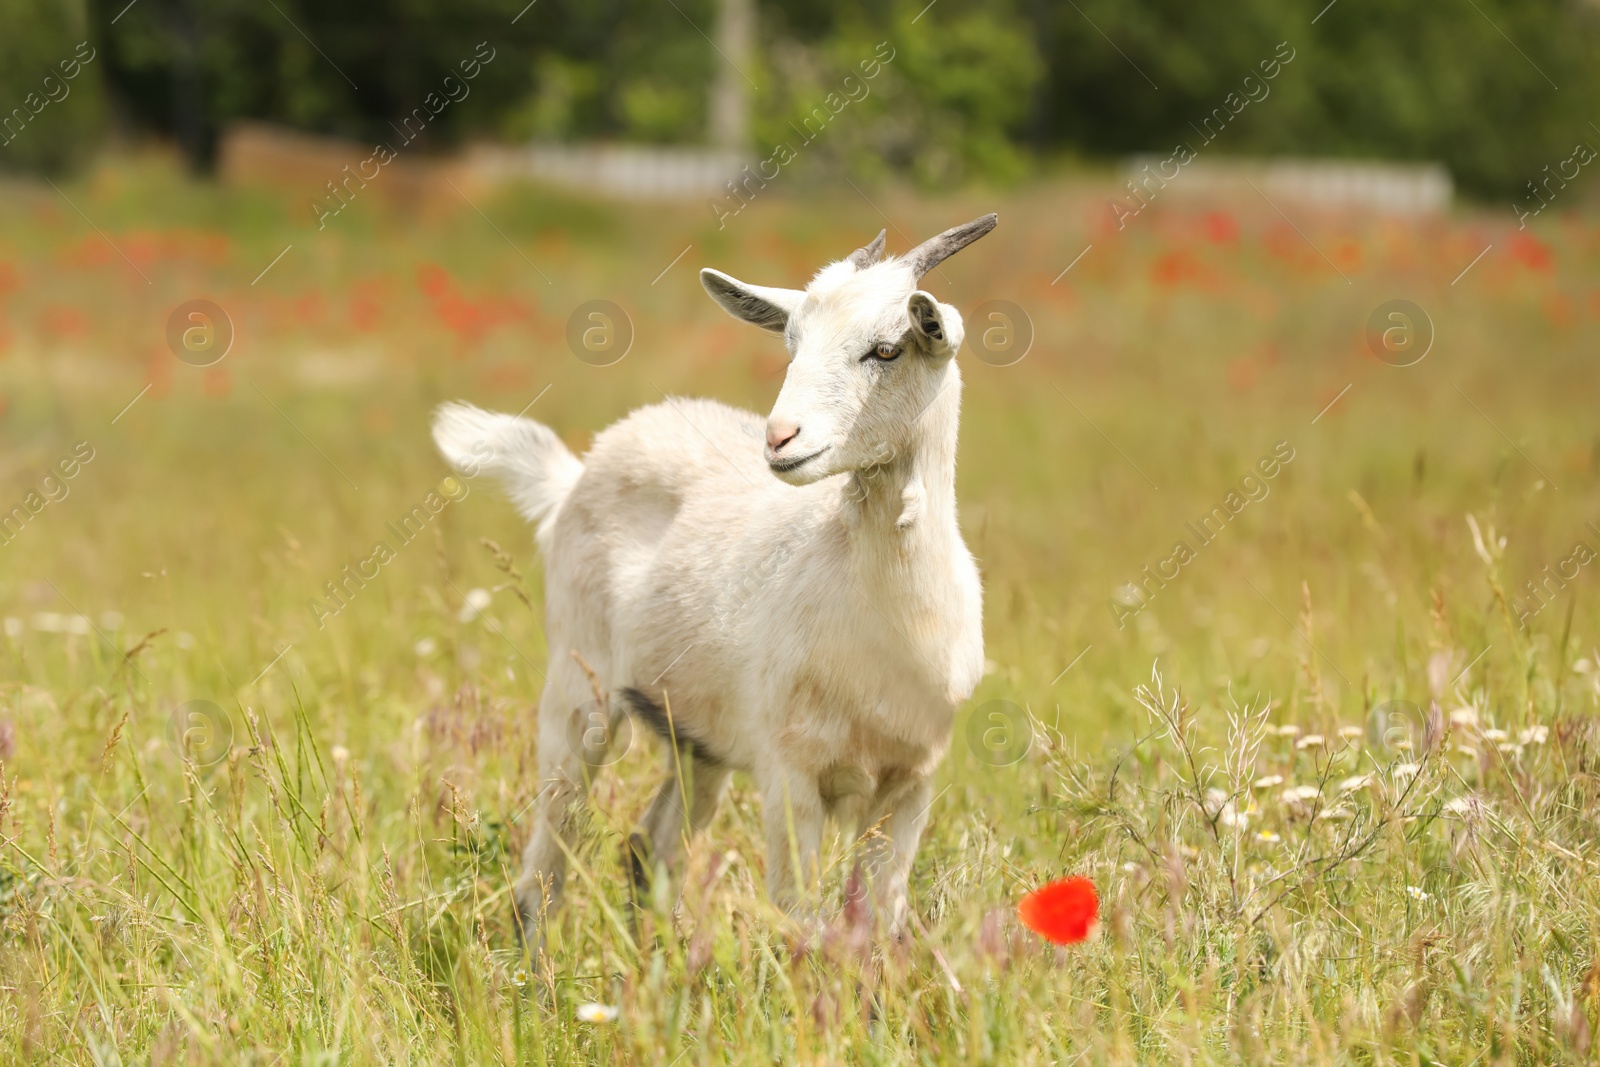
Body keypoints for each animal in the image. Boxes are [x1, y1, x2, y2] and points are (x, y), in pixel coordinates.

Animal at [432, 212, 992, 947]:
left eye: (886, 349)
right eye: (791, 343)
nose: (780, 438)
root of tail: (572, 475)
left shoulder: (911, 781)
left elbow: (877, 922)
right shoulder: (789, 772)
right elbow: (801, 919)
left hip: (695, 734)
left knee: (649, 845)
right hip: (578, 687)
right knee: (547, 860)